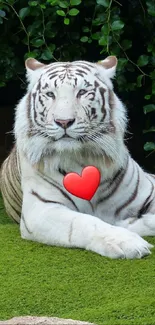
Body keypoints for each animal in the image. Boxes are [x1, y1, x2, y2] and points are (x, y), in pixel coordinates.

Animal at [0, 55, 154, 258]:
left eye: (82, 92)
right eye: (50, 94)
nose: (64, 121)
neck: (83, 157)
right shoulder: (41, 209)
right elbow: (85, 222)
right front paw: (127, 242)